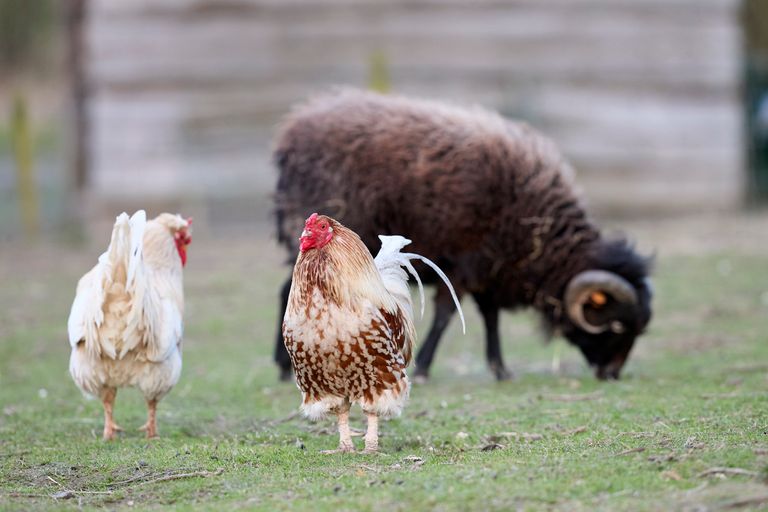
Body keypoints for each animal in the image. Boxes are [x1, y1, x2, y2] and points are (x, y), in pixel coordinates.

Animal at [272, 88, 653, 382]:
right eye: (616, 325)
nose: (612, 374)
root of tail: (291, 133)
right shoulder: (463, 263)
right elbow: (445, 314)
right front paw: (424, 368)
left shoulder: (491, 267)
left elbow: (491, 317)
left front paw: (500, 369)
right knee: (289, 291)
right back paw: (286, 367)